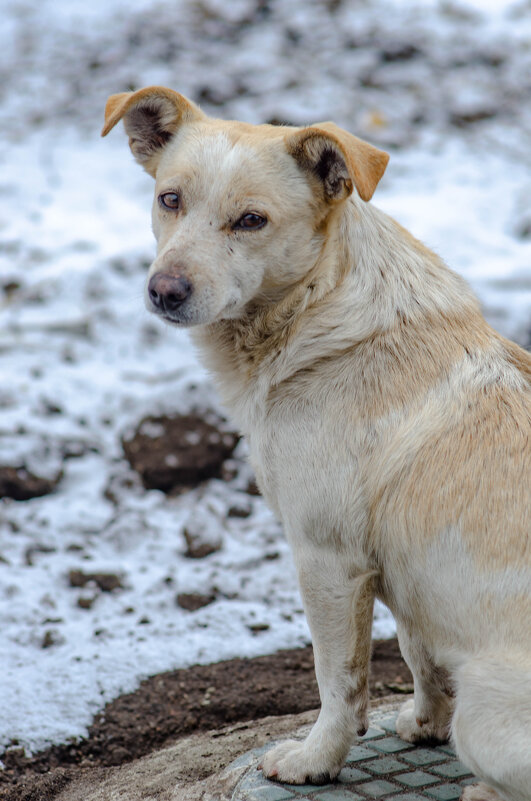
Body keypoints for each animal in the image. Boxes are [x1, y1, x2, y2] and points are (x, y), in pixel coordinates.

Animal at [103, 87, 531, 800]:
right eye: (170, 199)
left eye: (251, 220)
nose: (164, 291)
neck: (315, 308)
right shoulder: (399, 574)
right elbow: (417, 652)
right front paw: (424, 723)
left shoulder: (326, 558)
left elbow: (339, 681)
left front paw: (315, 760)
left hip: (488, 705)